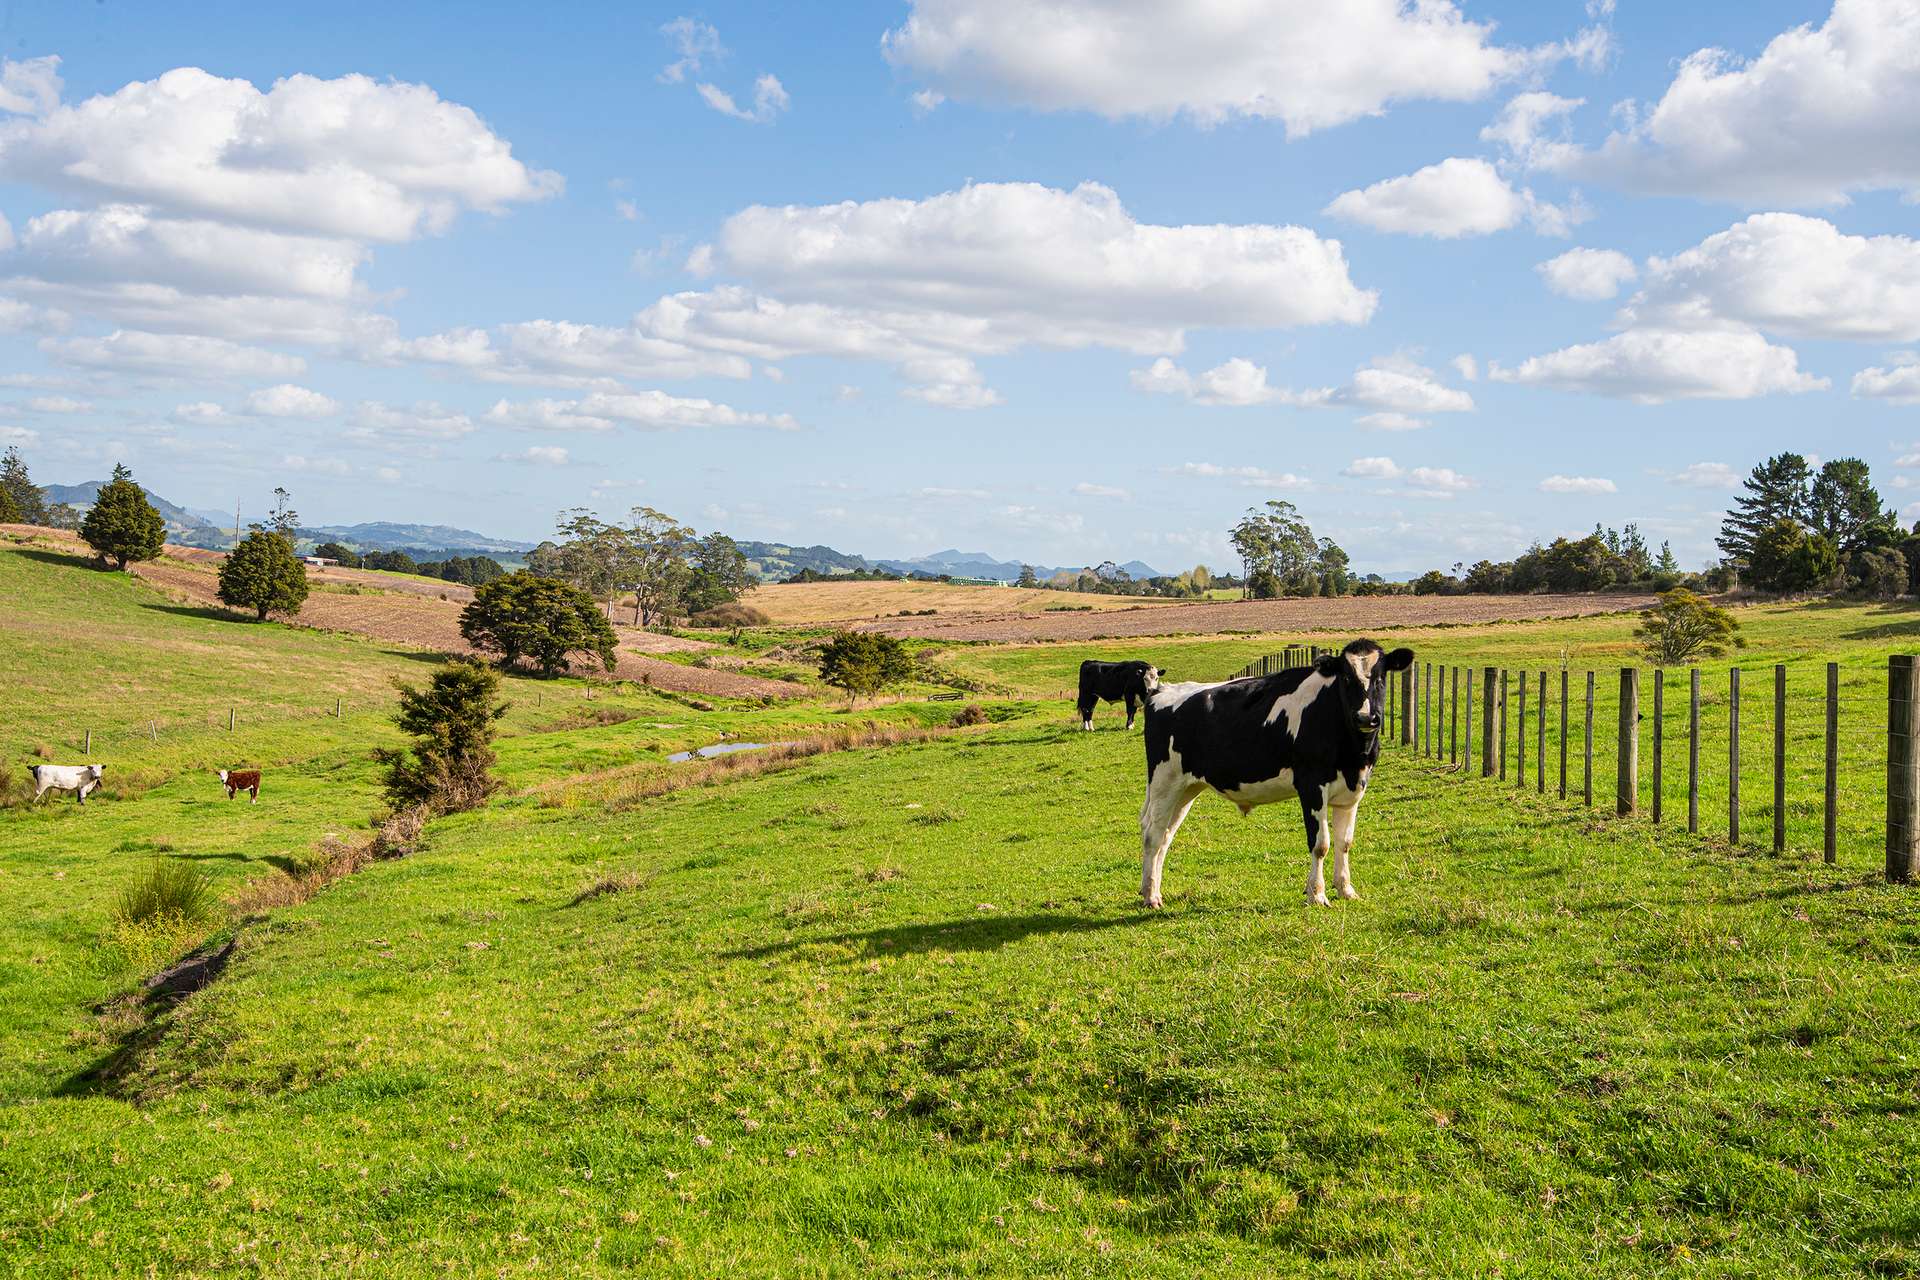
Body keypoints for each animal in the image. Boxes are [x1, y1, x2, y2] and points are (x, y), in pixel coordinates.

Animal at [1136, 640, 1413, 909]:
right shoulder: (1311, 786)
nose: (1366, 718)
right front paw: (1317, 894)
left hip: (1186, 788)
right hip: (1164, 781)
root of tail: (1162, 691)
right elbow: (1320, 844)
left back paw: (1153, 890)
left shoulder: (1352, 791)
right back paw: (1151, 896)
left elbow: (1344, 843)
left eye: (1380, 677)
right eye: (1346, 677)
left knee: (1166, 836)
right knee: (1153, 834)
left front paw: (1346, 890)